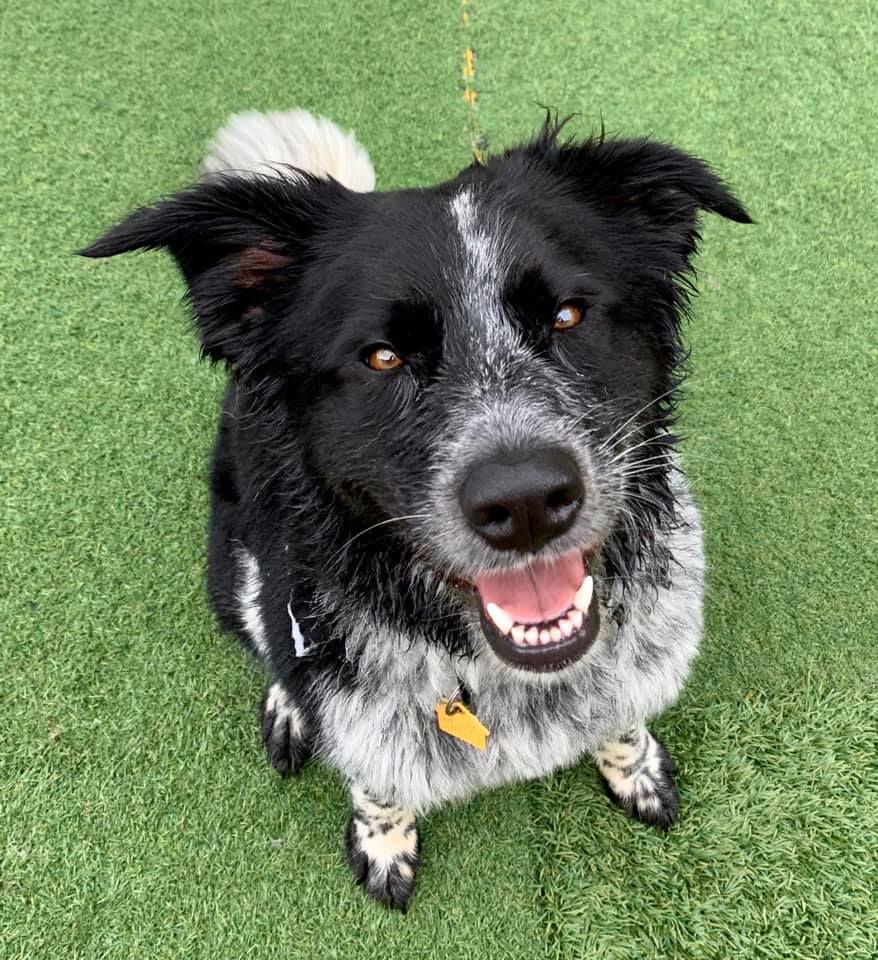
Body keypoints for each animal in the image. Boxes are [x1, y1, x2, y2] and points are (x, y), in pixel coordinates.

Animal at [82, 109, 750, 910]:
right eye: (382, 357)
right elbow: (372, 773)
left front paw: (637, 769)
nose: (526, 500)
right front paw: (383, 841)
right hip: (234, 559)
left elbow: (622, 713)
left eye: (568, 315)